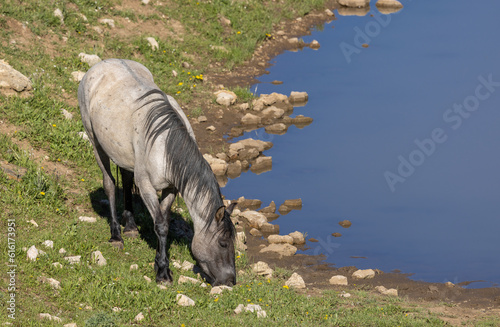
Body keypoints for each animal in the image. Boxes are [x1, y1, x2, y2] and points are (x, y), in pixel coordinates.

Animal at [76, 59, 236, 288]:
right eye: (222, 243)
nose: (230, 280)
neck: (165, 145)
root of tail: (101, 64)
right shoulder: (147, 187)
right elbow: (160, 225)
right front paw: (163, 273)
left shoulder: (171, 189)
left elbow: (164, 220)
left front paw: (158, 262)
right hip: (95, 142)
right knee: (109, 183)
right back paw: (116, 236)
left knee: (126, 180)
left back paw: (130, 227)